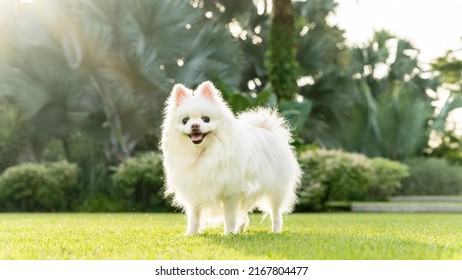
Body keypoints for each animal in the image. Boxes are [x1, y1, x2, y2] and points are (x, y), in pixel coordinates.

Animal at [161, 81, 302, 236]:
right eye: (185, 121)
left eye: (206, 119)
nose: (195, 125)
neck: (202, 153)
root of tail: (268, 131)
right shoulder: (196, 191)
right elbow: (194, 216)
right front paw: (191, 233)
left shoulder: (230, 192)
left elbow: (229, 216)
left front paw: (228, 233)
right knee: (244, 214)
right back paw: (240, 228)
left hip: (276, 190)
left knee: (275, 213)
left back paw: (275, 231)